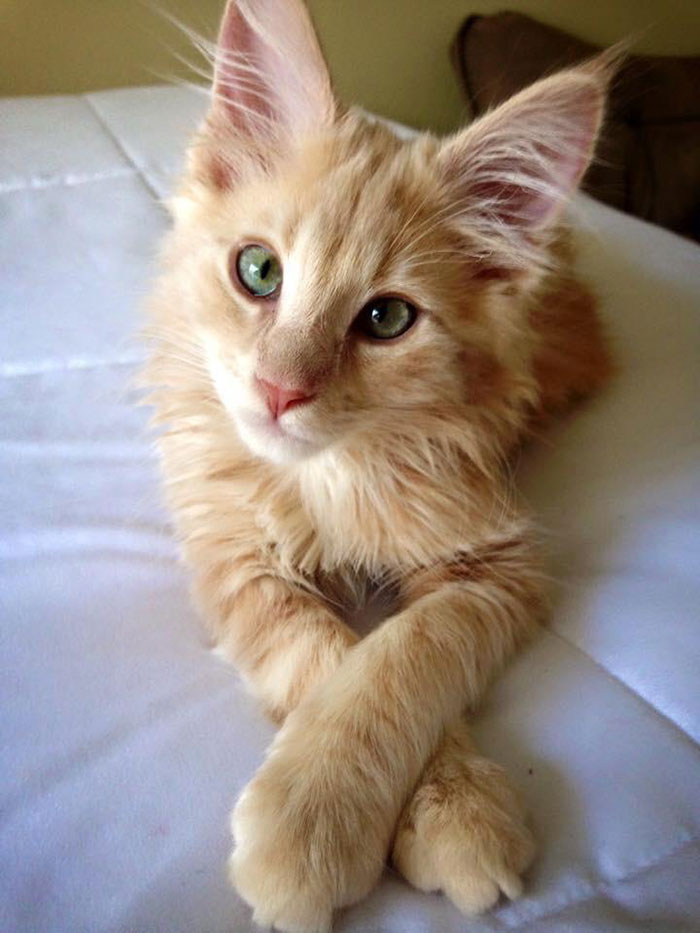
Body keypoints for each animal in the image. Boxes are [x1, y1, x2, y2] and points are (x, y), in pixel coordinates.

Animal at [144, 0, 612, 928]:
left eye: (387, 318)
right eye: (258, 271)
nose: (279, 390)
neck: (322, 476)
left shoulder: (495, 559)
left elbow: (398, 655)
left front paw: (420, 810)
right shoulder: (230, 553)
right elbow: (325, 652)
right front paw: (320, 826)